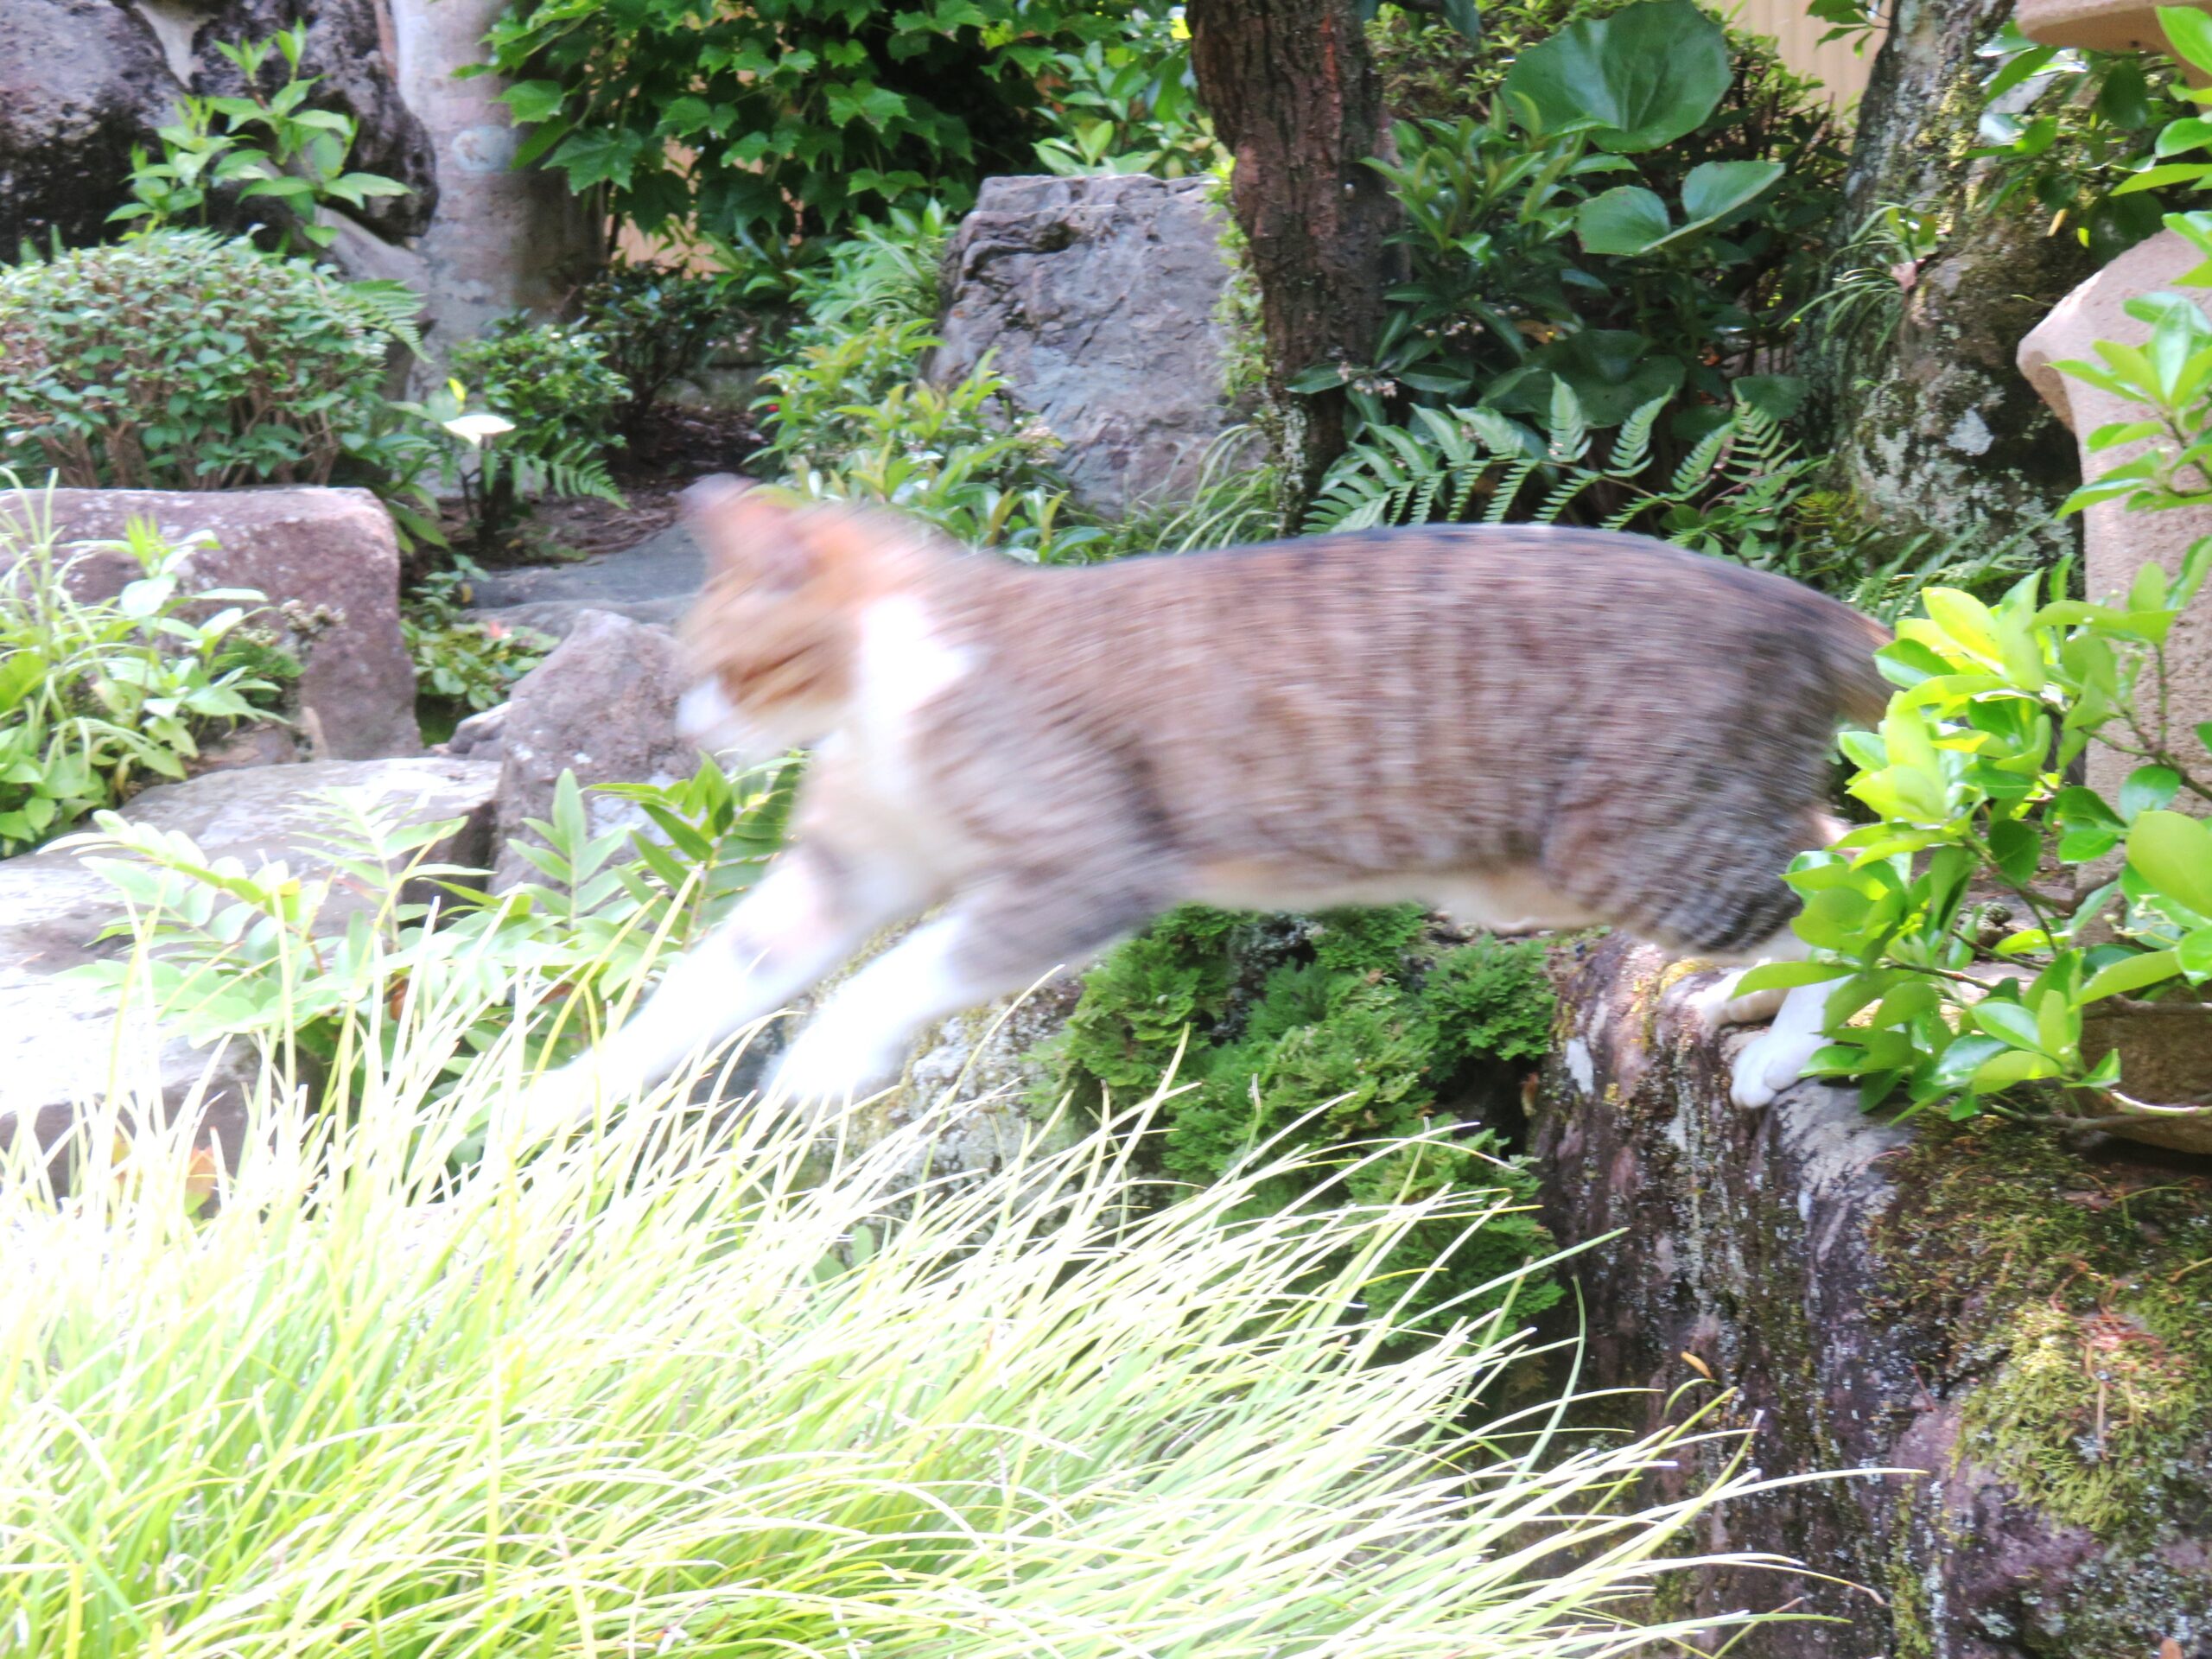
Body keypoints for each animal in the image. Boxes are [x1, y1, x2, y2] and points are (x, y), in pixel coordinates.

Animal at [512, 480, 1885, 1141]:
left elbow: (892, 975)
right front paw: (542, 1102)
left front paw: (822, 1063)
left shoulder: (1086, 869)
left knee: (1859, 899)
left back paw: (1785, 1047)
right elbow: (701, 988)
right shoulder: (846, 869)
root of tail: (1799, 606)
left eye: (731, 668)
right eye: (690, 670)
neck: (895, 681)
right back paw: (1743, 998)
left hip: (1632, 841)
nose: (694, 733)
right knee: (1842, 846)